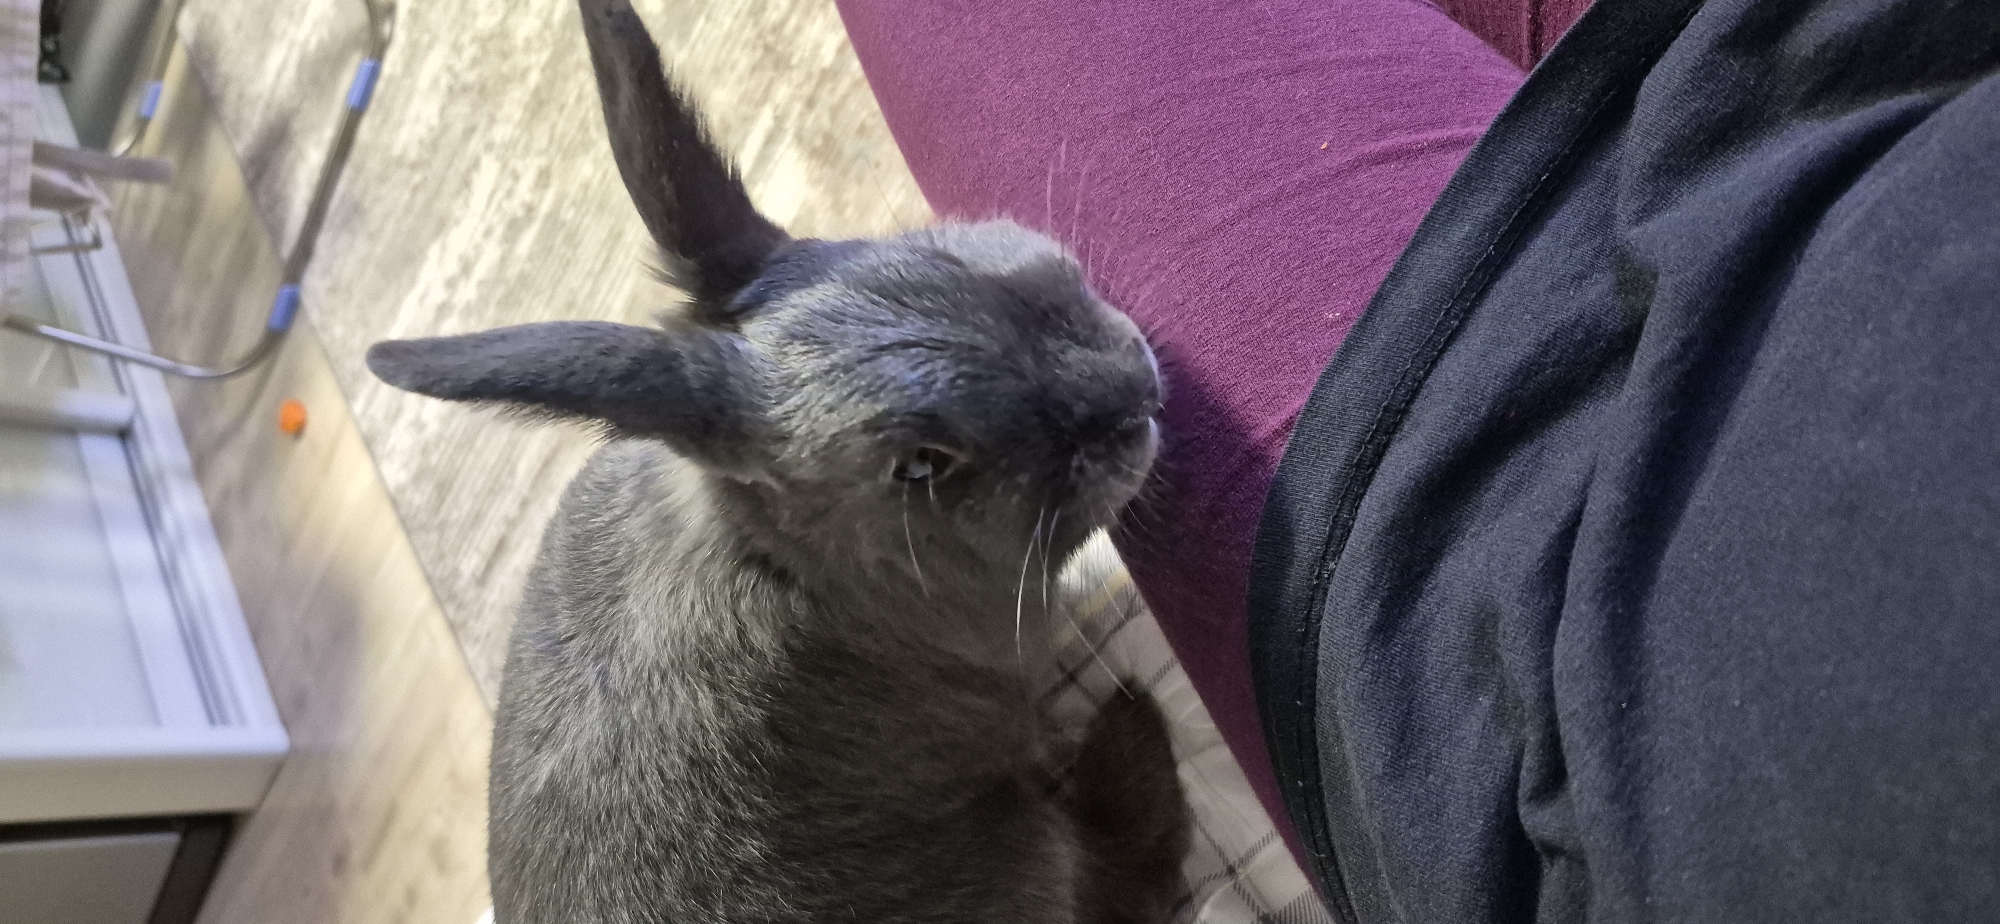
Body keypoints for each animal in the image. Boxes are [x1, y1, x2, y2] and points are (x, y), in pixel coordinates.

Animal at [363, 1, 1189, 923]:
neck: (792, 560)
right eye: (919, 466)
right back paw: (1133, 733)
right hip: (1029, 857)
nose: (1130, 388)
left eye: (932, 262)